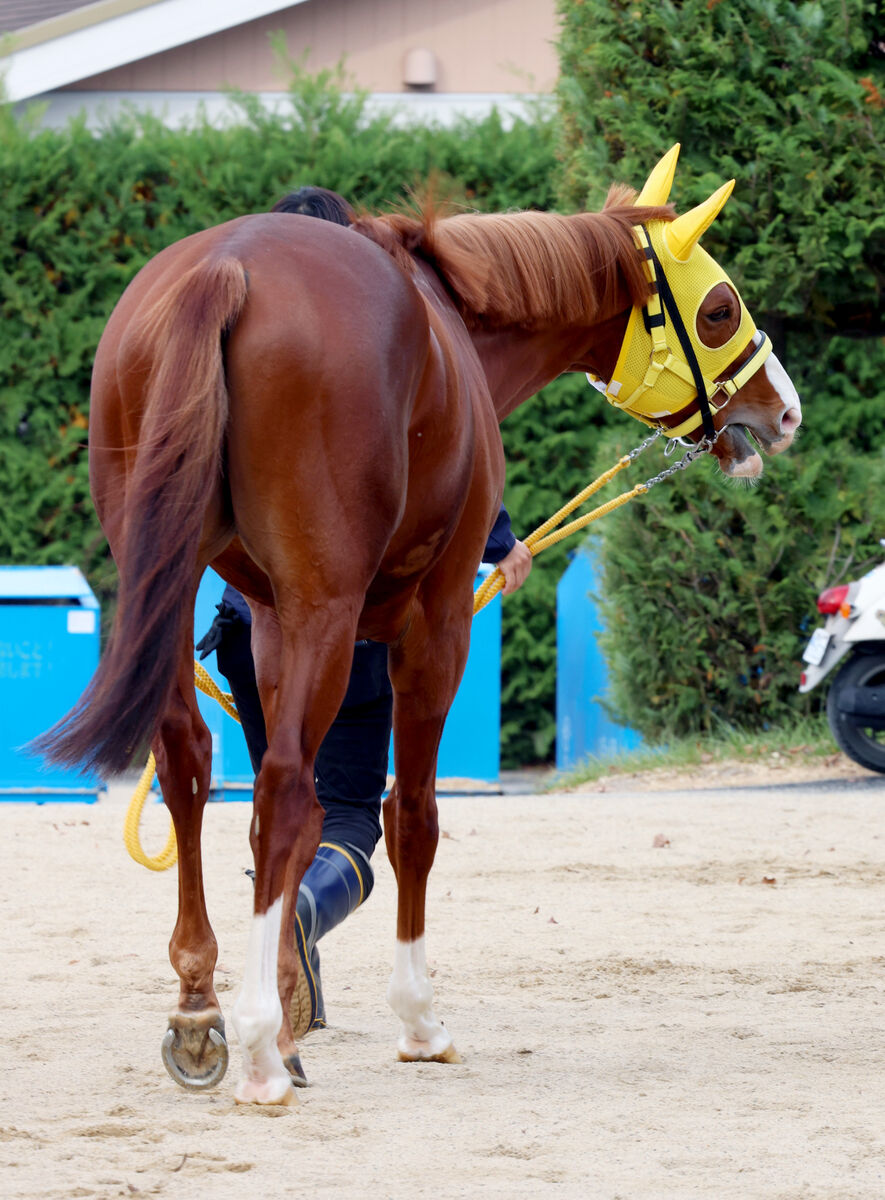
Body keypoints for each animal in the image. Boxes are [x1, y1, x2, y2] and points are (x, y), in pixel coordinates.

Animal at [36, 150, 801, 1104]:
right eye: (719, 306)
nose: (784, 411)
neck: (449, 324)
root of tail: (229, 268)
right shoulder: (432, 622)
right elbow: (410, 817)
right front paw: (414, 1018)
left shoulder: (276, 622)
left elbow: (316, 828)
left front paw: (284, 1001)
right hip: (333, 614)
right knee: (282, 792)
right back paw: (256, 1051)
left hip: (177, 598)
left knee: (190, 765)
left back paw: (202, 1007)